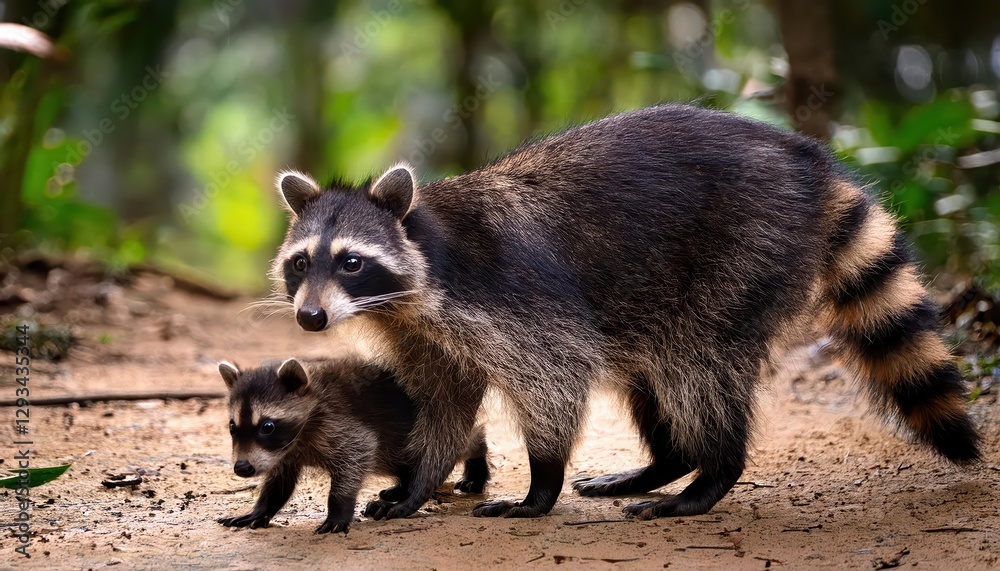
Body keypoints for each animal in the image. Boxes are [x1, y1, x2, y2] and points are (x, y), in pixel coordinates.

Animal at [217, 357, 489, 533]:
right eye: (232, 427)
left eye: (267, 426)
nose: (242, 468)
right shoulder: (283, 452)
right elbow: (279, 482)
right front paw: (261, 509)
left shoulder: (339, 425)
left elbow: (360, 451)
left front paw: (339, 508)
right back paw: (404, 485)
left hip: (431, 426)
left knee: (451, 445)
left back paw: (476, 457)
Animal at [270, 104, 980, 521]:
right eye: (301, 263)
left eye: (351, 262)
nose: (310, 319)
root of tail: (811, 163)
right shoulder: (426, 333)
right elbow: (445, 402)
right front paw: (420, 478)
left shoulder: (506, 296)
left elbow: (555, 372)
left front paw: (541, 483)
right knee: (652, 368)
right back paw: (666, 463)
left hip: (742, 246)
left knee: (697, 361)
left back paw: (712, 473)